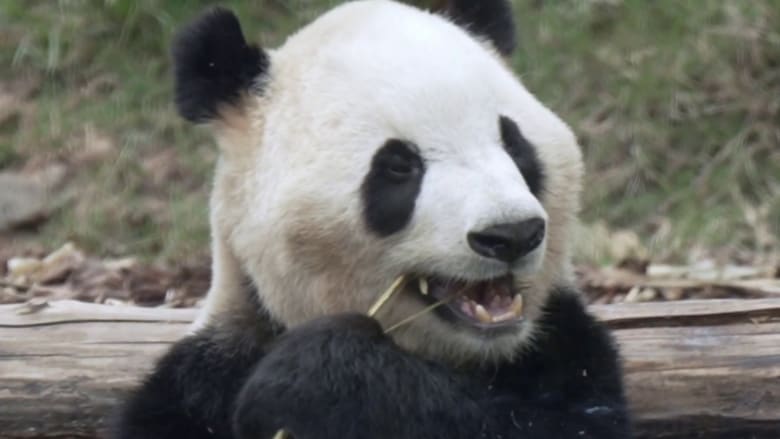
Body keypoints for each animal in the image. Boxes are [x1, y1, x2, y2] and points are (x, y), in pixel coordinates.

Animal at [114, 1, 630, 438]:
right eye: (399, 165)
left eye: (514, 143)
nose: (511, 234)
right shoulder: (207, 373)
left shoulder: (565, 351)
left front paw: (312, 377)